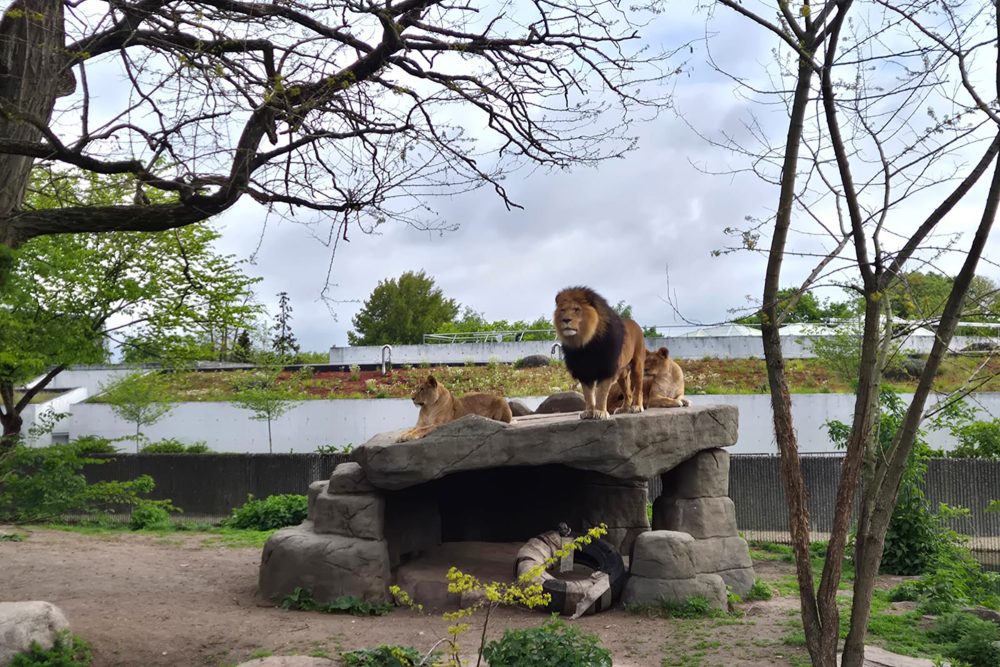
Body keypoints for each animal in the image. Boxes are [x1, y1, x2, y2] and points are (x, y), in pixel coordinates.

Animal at [554, 286, 645, 420]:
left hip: (637, 365)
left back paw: (637, 407)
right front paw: (589, 412)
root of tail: (635, 324)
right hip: (622, 373)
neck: (585, 343)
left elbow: (601, 393)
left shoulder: (606, 369)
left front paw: (601, 412)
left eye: (576, 309)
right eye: (562, 310)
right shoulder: (584, 371)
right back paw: (623, 409)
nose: (565, 320)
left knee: (638, 388)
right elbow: (588, 394)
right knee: (627, 393)